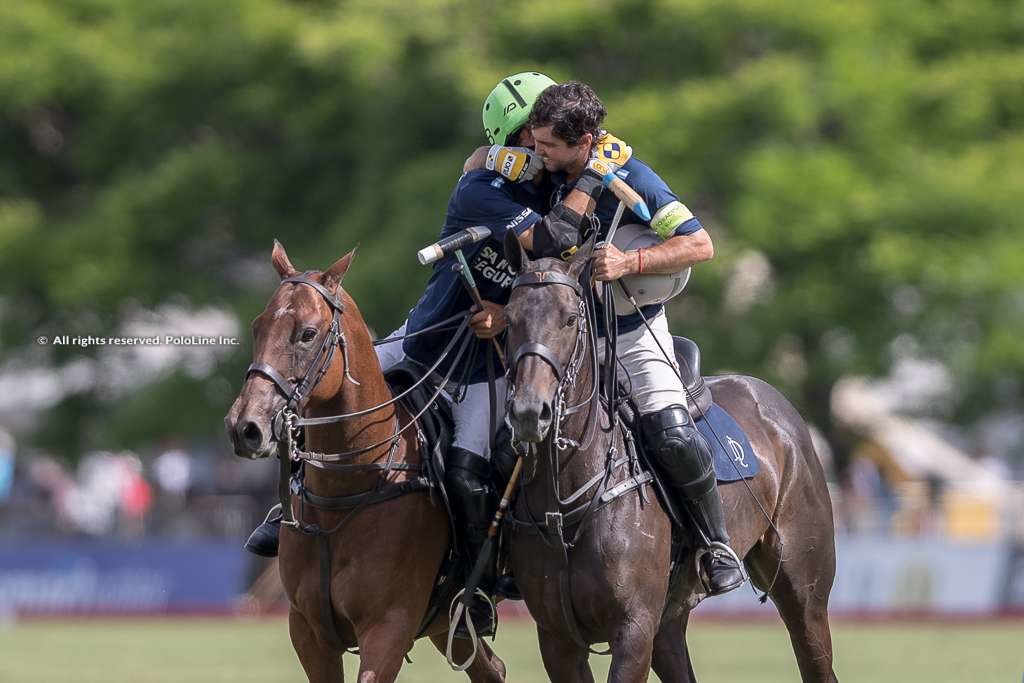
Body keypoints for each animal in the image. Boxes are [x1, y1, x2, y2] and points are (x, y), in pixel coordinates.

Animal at [227, 242, 507, 683]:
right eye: (258, 326)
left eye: (308, 334)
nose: (245, 427)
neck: (349, 486)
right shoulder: (308, 631)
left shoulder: (389, 626)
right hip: (447, 622)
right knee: (492, 668)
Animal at [499, 232, 835, 679]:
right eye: (508, 320)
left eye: (569, 319)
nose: (528, 412)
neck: (566, 501)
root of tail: (775, 400)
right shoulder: (557, 638)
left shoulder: (634, 627)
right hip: (670, 620)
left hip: (804, 589)